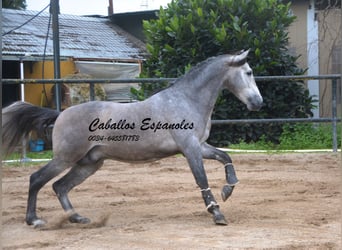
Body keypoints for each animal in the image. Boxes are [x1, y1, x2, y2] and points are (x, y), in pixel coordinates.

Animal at [2, 49, 264, 228]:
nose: (258, 103)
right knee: (37, 179)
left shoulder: (200, 146)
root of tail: (60, 114)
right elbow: (201, 179)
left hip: (89, 163)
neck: (187, 99)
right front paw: (217, 213)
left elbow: (225, 157)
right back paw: (34, 220)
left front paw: (228, 190)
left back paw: (77, 217)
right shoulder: (190, 149)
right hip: (66, 158)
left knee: (60, 186)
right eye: (249, 72)